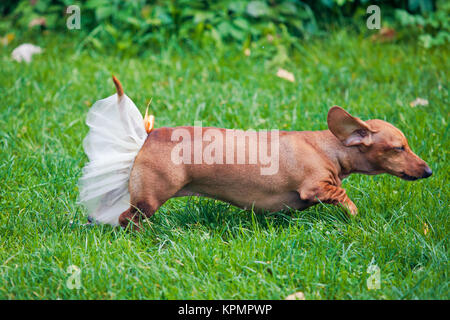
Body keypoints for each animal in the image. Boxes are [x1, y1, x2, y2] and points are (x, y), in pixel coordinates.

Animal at [106, 78, 432, 229]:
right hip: (148, 200)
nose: (429, 171)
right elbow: (341, 195)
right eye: (398, 148)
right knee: (127, 219)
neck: (326, 148)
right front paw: (354, 214)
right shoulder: (315, 186)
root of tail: (148, 134)